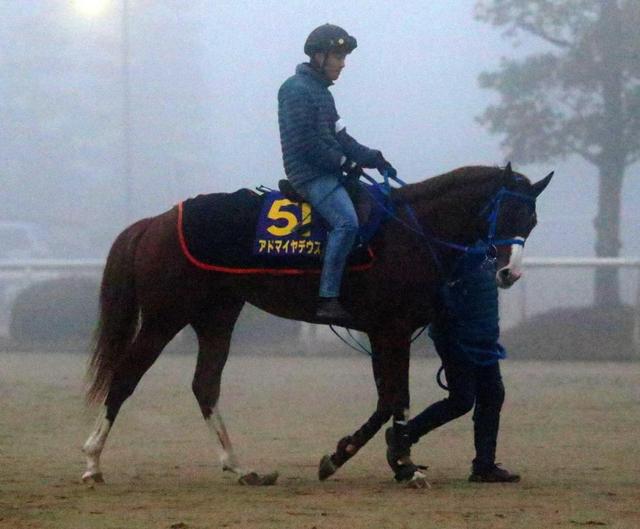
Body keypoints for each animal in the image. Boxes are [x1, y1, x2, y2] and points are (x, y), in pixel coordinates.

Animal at [82, 163, 552, 487]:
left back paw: (241, 468)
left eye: (530, 221)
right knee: (125, 377)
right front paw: (403, 467)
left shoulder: (381, 330)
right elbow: (397, 398)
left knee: (205, 385)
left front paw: (350, 455)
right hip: (165, 316)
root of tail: (155, 222)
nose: (509, 273)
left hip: (216, 315)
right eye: (501, 212)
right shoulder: (393, 328)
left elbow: (387, 399)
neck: (411, 232)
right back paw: (92, 461)